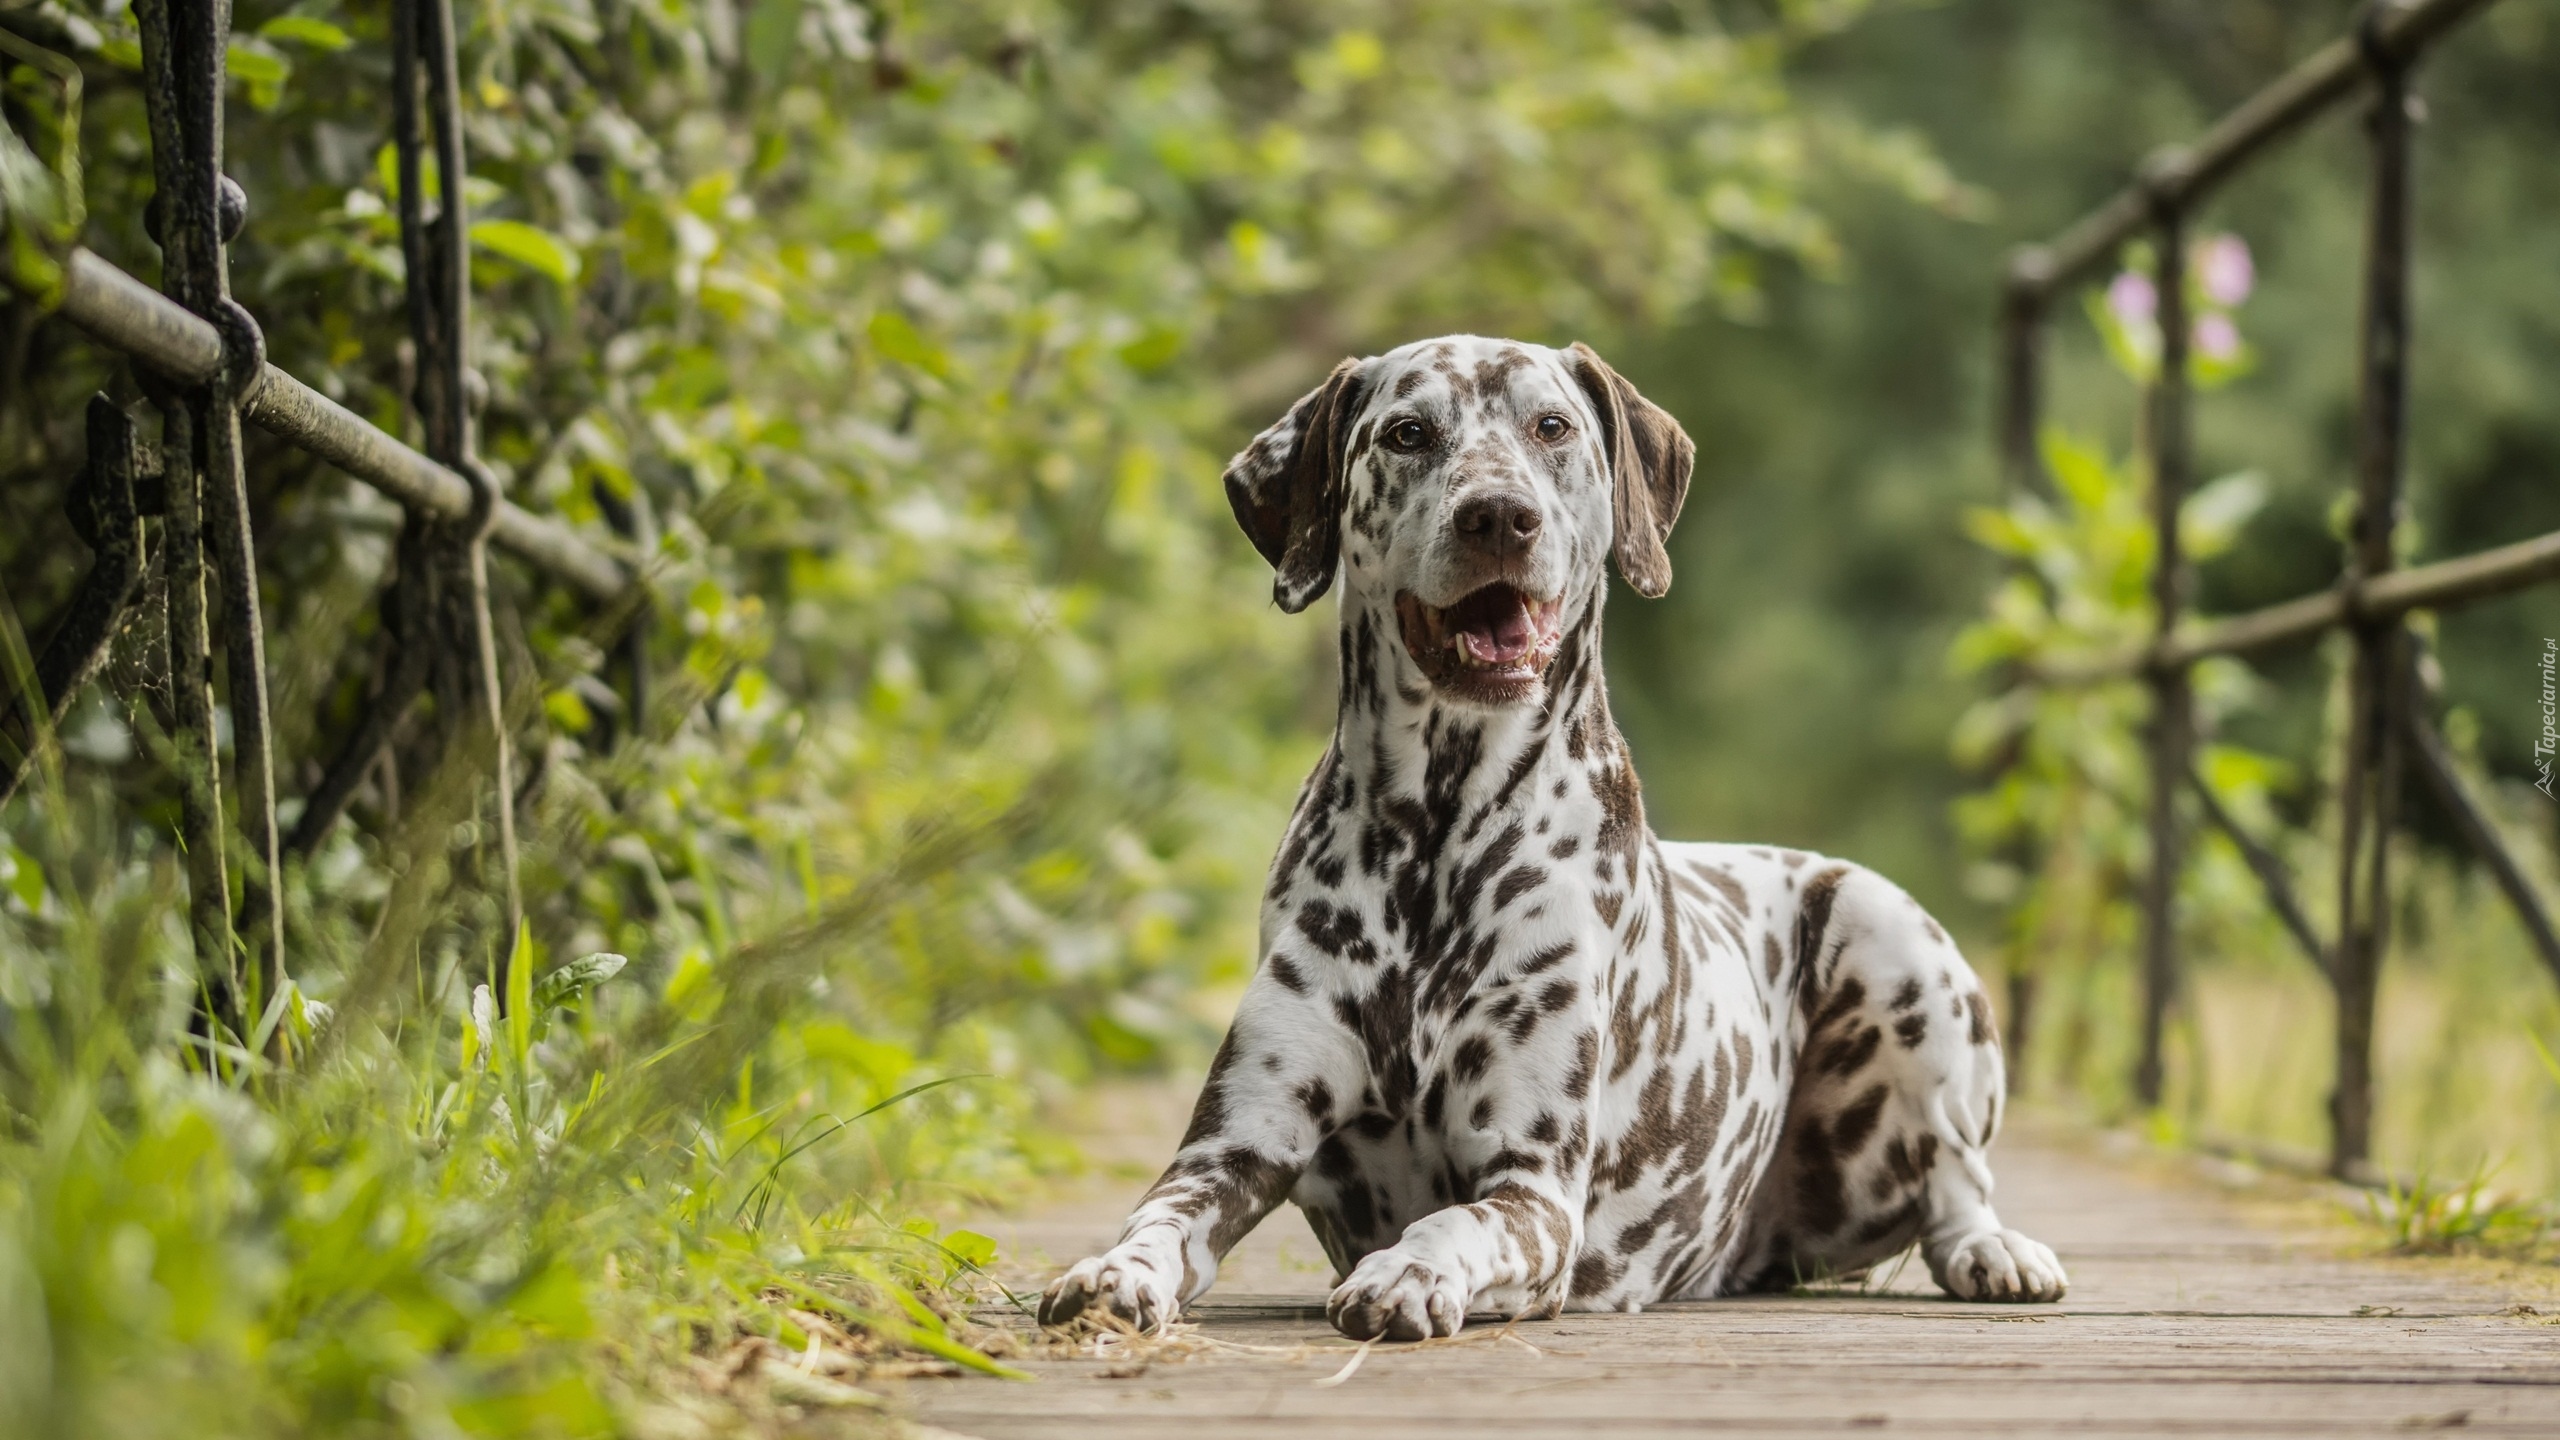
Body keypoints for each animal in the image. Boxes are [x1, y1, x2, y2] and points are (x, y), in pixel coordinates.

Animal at [1039, 333, 2058, 1332]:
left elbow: (1454, 1222)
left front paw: (1407, 1272)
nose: (1499, 515)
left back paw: (1996, 1252)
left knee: (1955, 1180)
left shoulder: (1531, 1188)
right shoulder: (1233, 1147)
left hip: (1894, 941)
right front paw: (1113, 1271)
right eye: (1407, 433)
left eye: (1552, 427)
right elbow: (1159, 1219)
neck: (1438, 834)